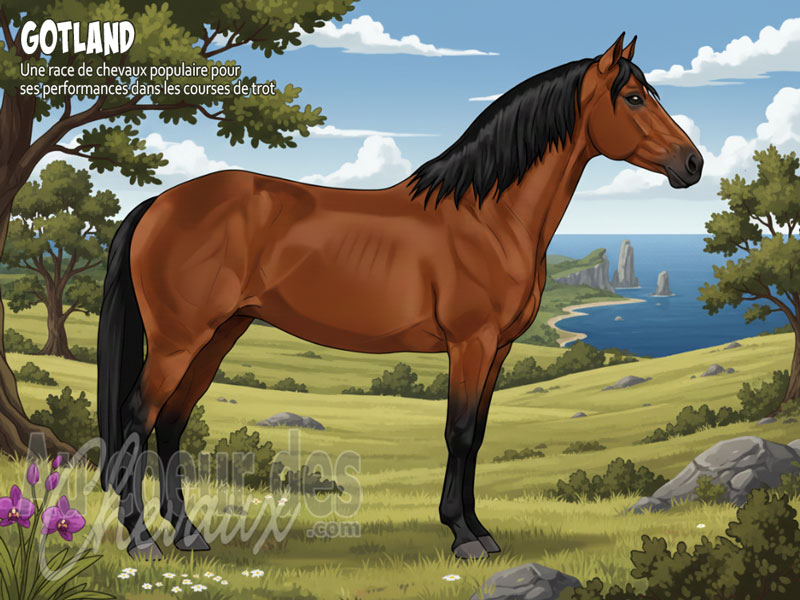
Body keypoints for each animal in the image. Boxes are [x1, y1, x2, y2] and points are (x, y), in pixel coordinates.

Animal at [97, 33, 702, 560]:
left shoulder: (499, 349)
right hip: (178, 341)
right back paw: (143, 540)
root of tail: (158, 203)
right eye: (633, 97)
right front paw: (463, 536)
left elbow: (477, 437)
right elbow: (459, 433)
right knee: (138, 419)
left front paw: (481, 530)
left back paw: (188, 534)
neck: (488, 217)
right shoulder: (470, 343)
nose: (692, 163)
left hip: (218, 335)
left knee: (172, 422)